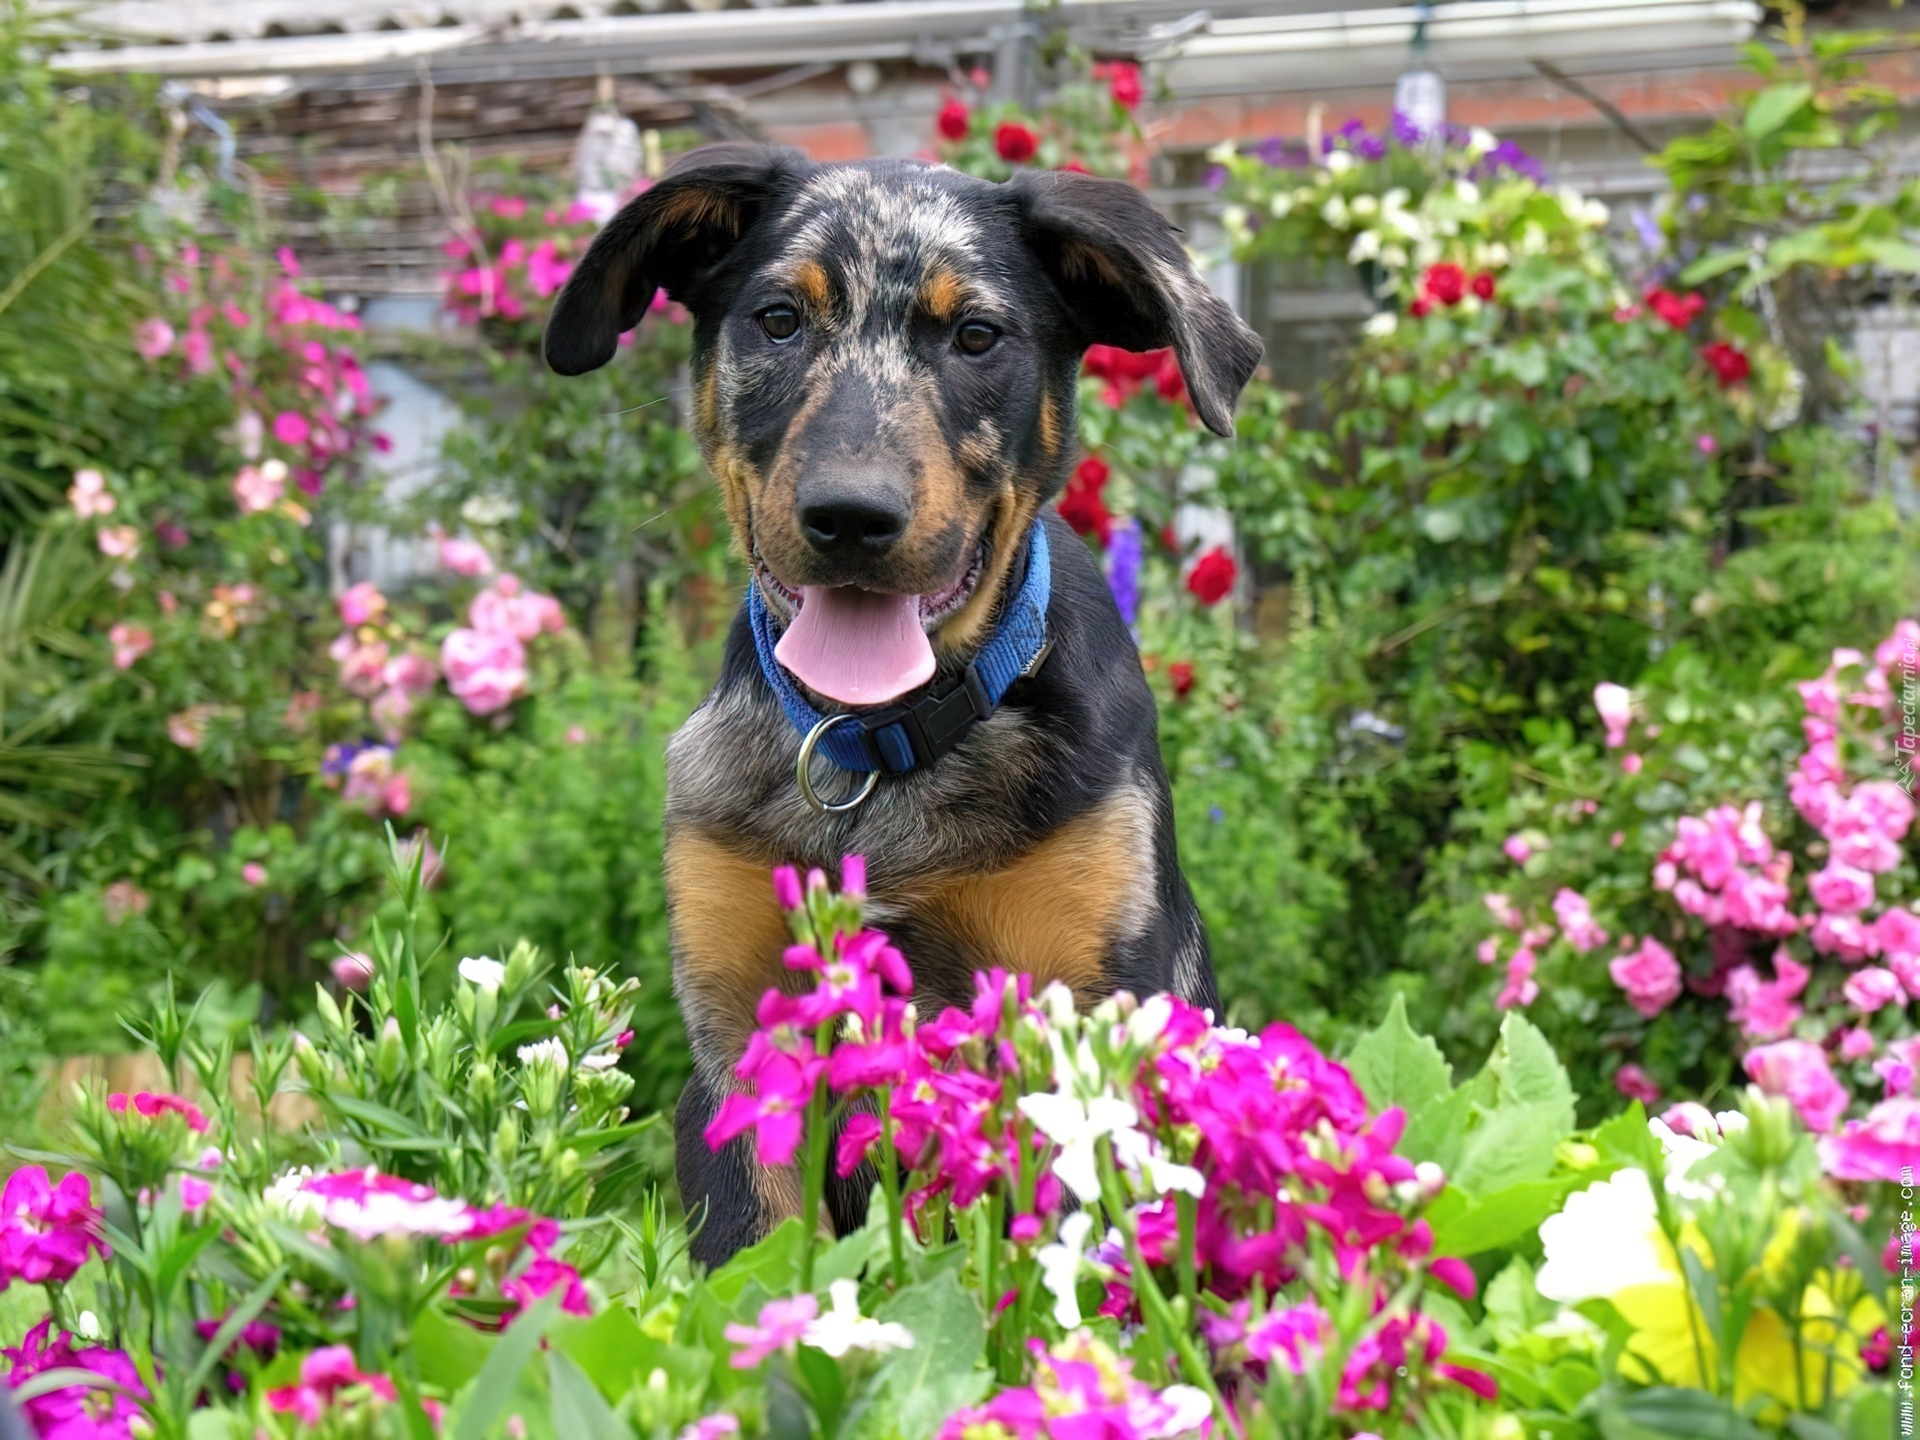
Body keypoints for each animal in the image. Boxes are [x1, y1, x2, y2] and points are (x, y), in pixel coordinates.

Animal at [545, 138, 1259, 1259]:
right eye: (779, 319)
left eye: (977, 337)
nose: (850, 516)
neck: (877, 749)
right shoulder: (738, 1055)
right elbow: (761, 1270)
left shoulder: (1092, 1015)